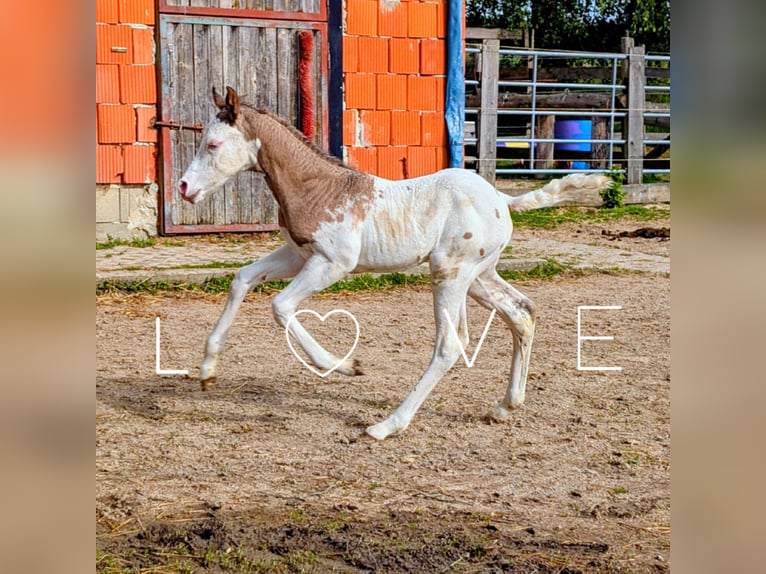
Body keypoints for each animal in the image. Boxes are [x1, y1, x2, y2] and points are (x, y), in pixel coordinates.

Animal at [178, 86, 610, 440]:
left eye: (213, 144)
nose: (184, 187)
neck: (318, 187)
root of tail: (502, 200)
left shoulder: (332, 263)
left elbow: (280, 306)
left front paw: (343, 365)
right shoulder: (297, 254)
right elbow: (241, 280)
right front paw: (207, 370)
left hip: (449, 274)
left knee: (451, 343)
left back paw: (387, 425)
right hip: (478, 278)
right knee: (521, 312)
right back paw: (505, 406)